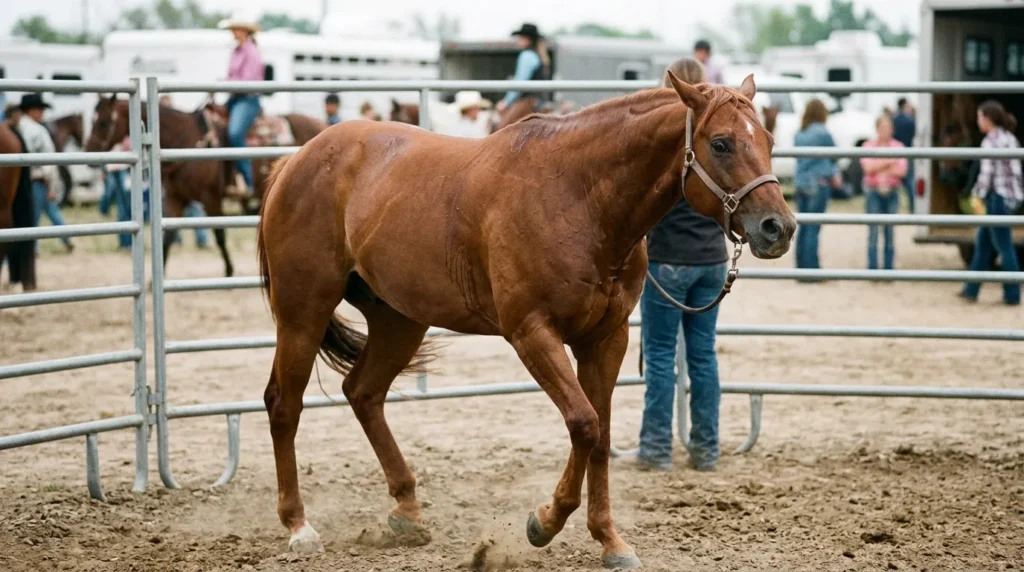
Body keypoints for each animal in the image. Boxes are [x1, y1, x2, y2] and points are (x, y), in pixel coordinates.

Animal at [255, 74, 795, 568]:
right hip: (303, 313)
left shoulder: (607, 340)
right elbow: (584, 424)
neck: (580, 199)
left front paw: (610, 540)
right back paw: (299, 527)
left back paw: (407, 511)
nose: (779, 228)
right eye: (721, 143)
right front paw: (545, 521)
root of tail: (295, 160)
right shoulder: (533, 333)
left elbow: (601, 435)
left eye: (768, 141)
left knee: (363, 393)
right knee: (284, 404)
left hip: (400, 320)